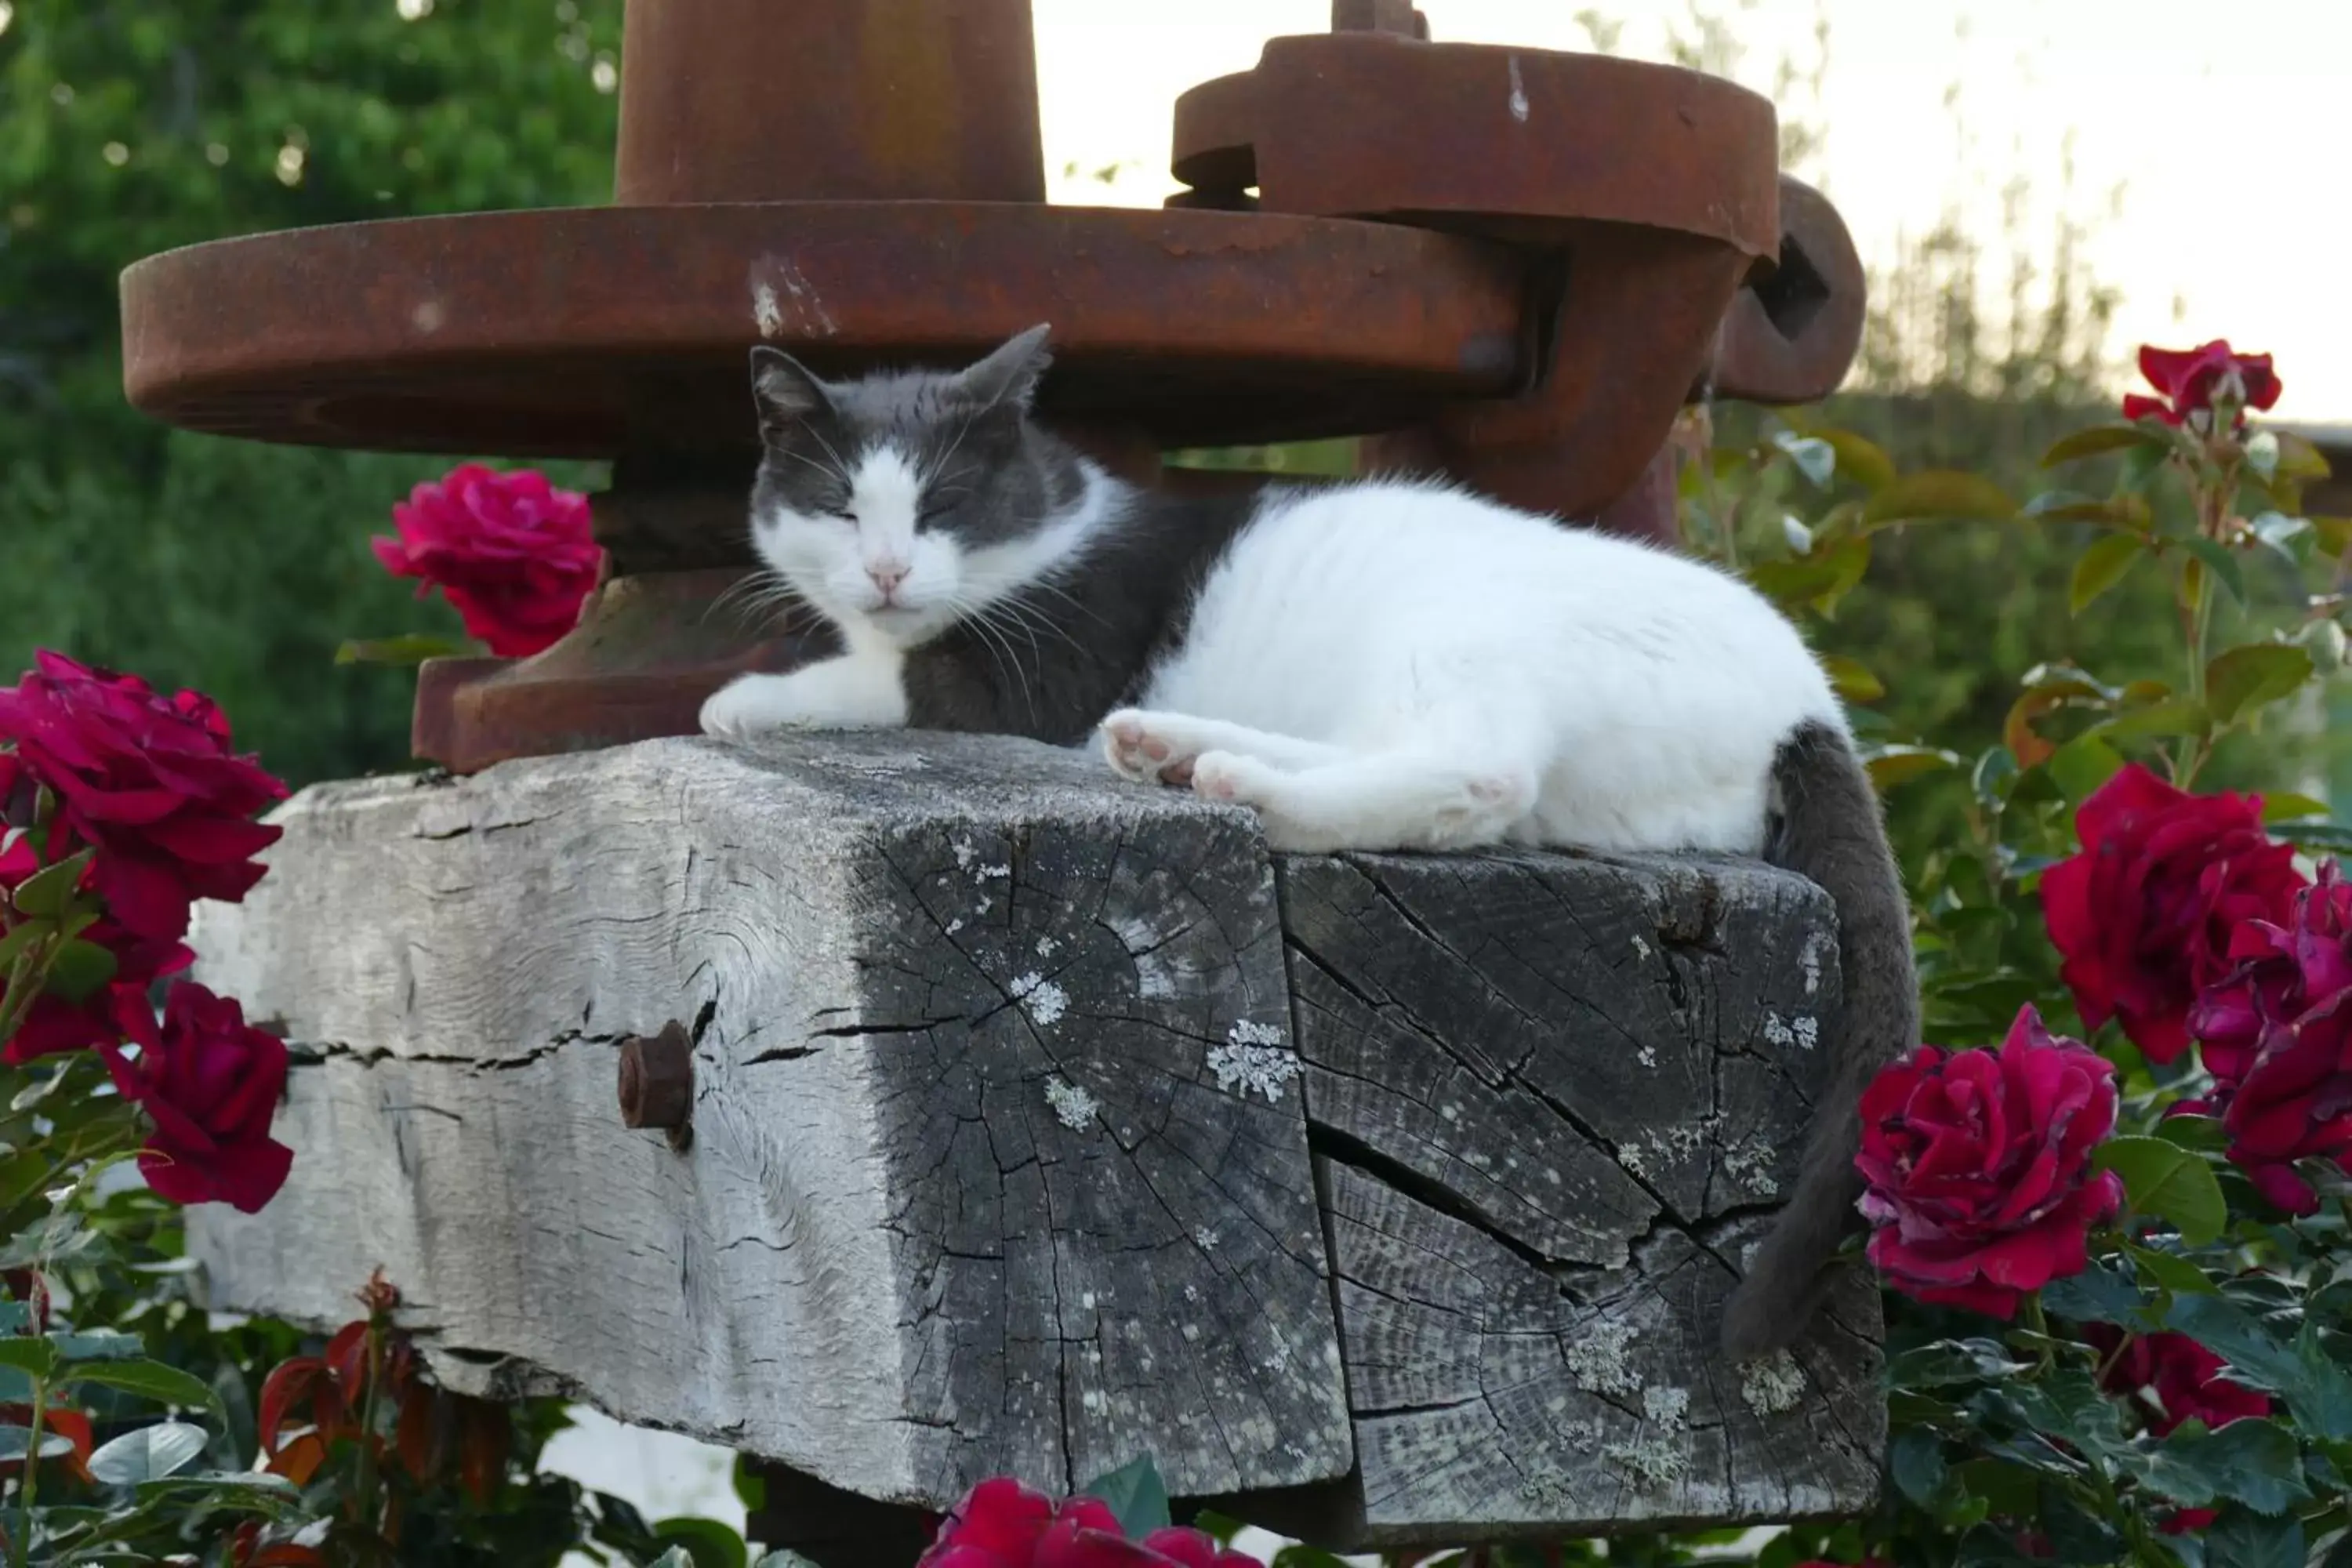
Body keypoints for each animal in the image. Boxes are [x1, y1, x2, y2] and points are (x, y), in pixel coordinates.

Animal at [696, 321, 1910, 1363]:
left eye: (944, 503)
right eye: (841, 510)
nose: (888, 573)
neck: (1045, 540)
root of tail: (1812, 704)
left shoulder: (1021, 676)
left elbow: (883, 677)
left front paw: (750, 697)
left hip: (1465, 634)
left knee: (1481, 774)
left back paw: (1251, 792)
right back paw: (1176, 747)